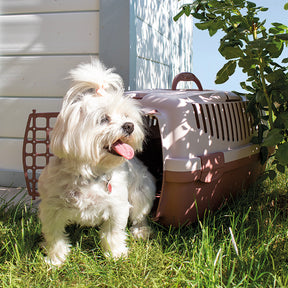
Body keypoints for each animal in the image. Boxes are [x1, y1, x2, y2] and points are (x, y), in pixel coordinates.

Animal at [38, 59, 156, 266]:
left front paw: (115, 255)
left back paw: (141, 231)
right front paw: (55, 260)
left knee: (139, 216)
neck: (90, 174)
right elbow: (55, 237)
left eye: (126, 116)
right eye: (103, 119)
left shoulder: (117, 207)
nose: (130, 126)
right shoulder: (51, 209)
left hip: (141, 194)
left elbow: (113, 234)